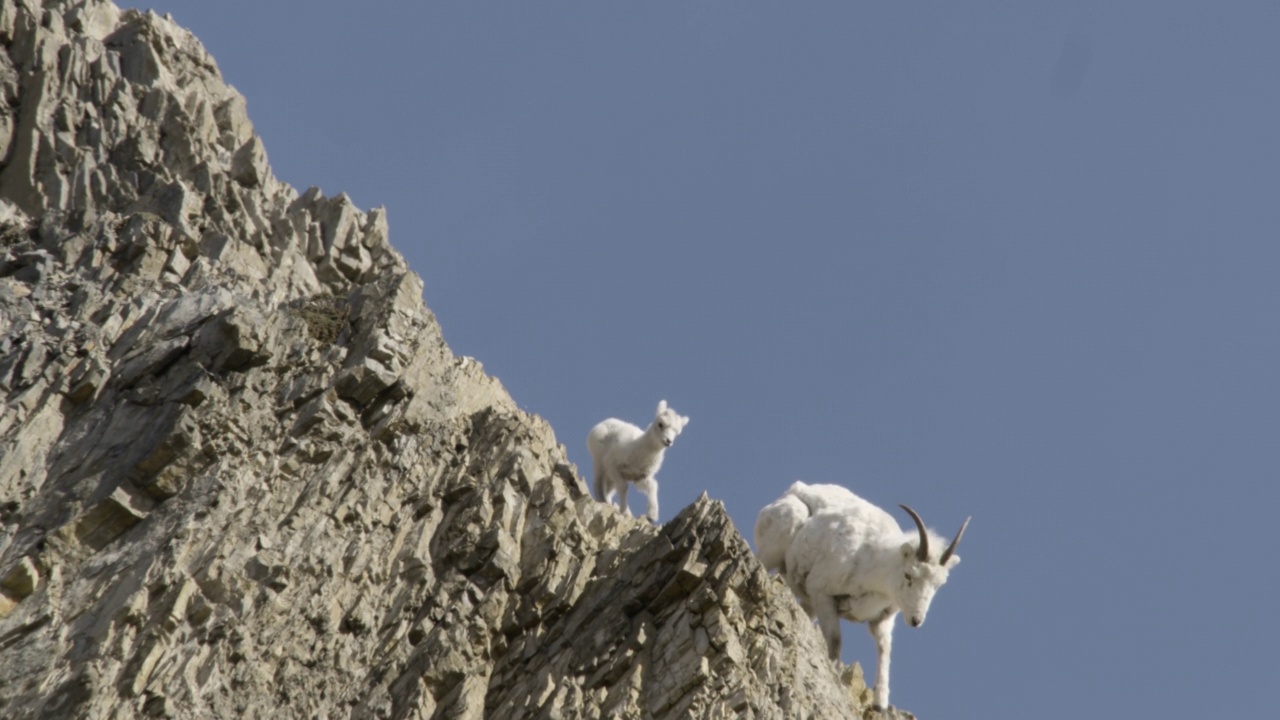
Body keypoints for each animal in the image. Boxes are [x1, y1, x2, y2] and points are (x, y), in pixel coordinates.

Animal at [747, 479, 967, 707]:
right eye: (909, 575)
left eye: (938, 585)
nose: (916, 620)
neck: (870, 563)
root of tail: (795, 489)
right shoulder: (822, 595)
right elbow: (835, 642)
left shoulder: (881, 620)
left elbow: (884, 650)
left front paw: (880, 703)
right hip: (773, 551)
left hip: (807, 602)